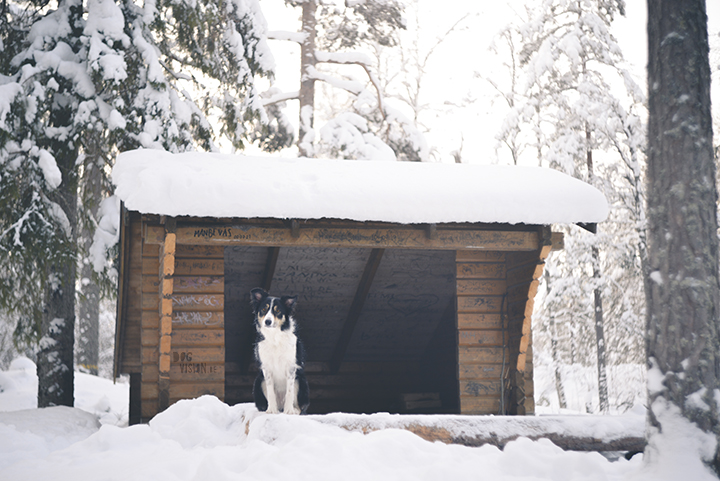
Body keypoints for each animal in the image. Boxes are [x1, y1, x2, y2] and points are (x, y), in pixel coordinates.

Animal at [249, 286, 308, 414]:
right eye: (264, 309)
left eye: (277, 311)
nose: (268, 321)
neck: (275, 336)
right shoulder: (266, 368)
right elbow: (270, 391)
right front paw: (271, 410)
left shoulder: (291, 367)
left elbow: (290, 392)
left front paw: (289, 411)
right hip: (259, 380)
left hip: (301, 380)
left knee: (299, 406)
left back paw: (292, 410)